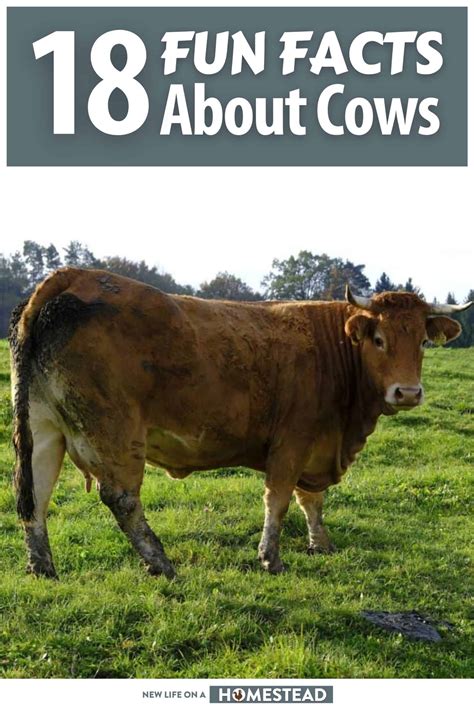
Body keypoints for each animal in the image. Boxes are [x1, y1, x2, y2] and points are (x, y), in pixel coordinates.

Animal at [8, 268, 472, 579]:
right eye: (379, 339)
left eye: (423, 341)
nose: (407, 393)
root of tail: (73, 276)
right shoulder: (293, 441)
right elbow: (279, 499)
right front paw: (271, 557)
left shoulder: (316, 444)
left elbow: (311, 500)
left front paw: (320, 544)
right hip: (114, 430)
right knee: (120, 498)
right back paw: (161, 563)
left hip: (43, 426)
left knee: (35, 495)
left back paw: (42, 568)